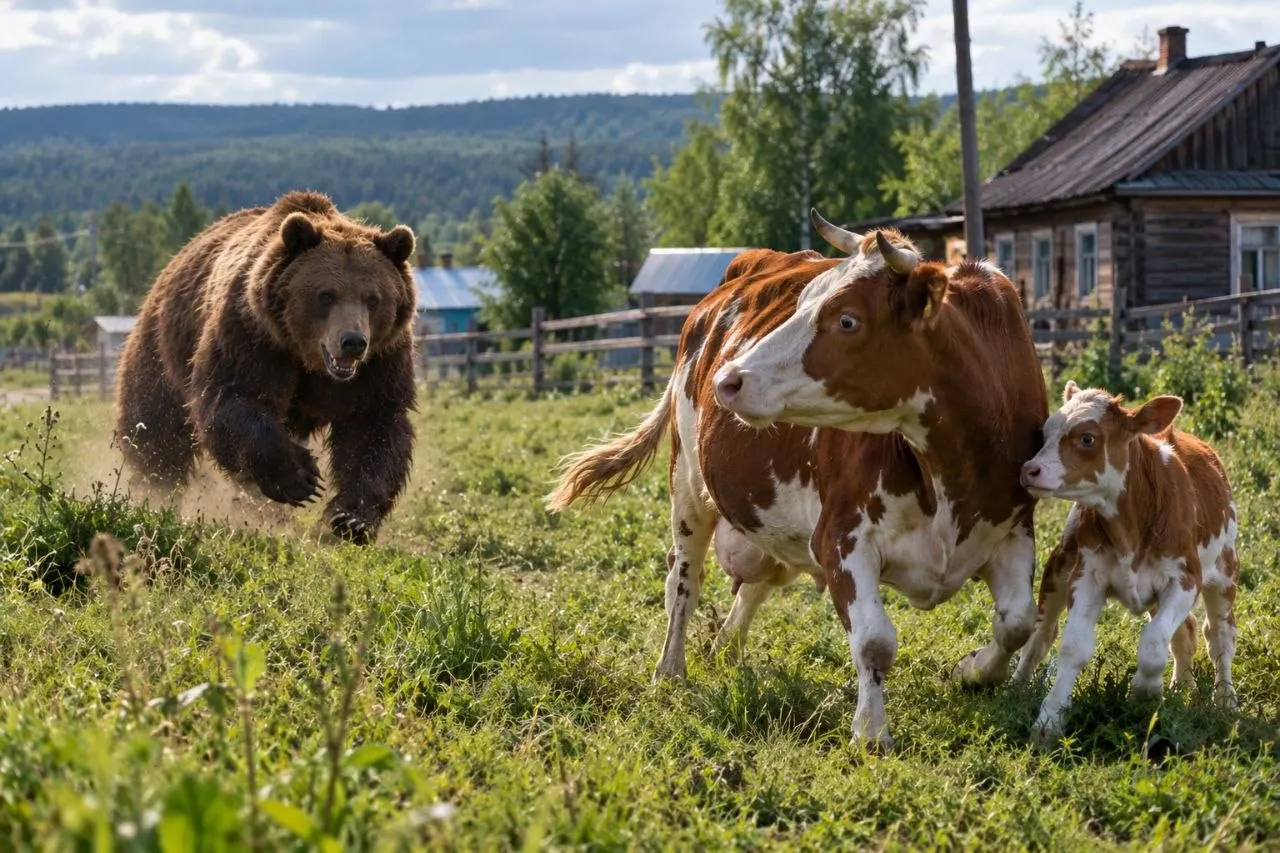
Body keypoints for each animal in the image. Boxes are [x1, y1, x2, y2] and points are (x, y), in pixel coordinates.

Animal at [547, 210, 1049, 750]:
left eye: (847, 319)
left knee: (756, 579)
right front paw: (872, 733)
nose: (728, 379)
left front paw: (973, 671)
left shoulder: (1015, 528)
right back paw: (670, 670)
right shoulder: (841, 538)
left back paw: (725, 648)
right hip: (688, 483)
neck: (950, 464)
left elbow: (1018, 622)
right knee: (683, 578)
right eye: (804, 301)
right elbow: (875, 641)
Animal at [1015, 382, 1239, 740]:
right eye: (1045, 431)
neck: (1131, 525)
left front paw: (1145, 693)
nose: (1028, 470)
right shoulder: (1087, 576)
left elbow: (1153, 643)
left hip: (1225, 571)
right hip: (1061, 564)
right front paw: (1049, 719)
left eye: (1088, 438)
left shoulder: (1185, 579)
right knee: (1041, 633)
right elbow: (1072, 646)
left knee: (1218, 636)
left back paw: (1225, 701)